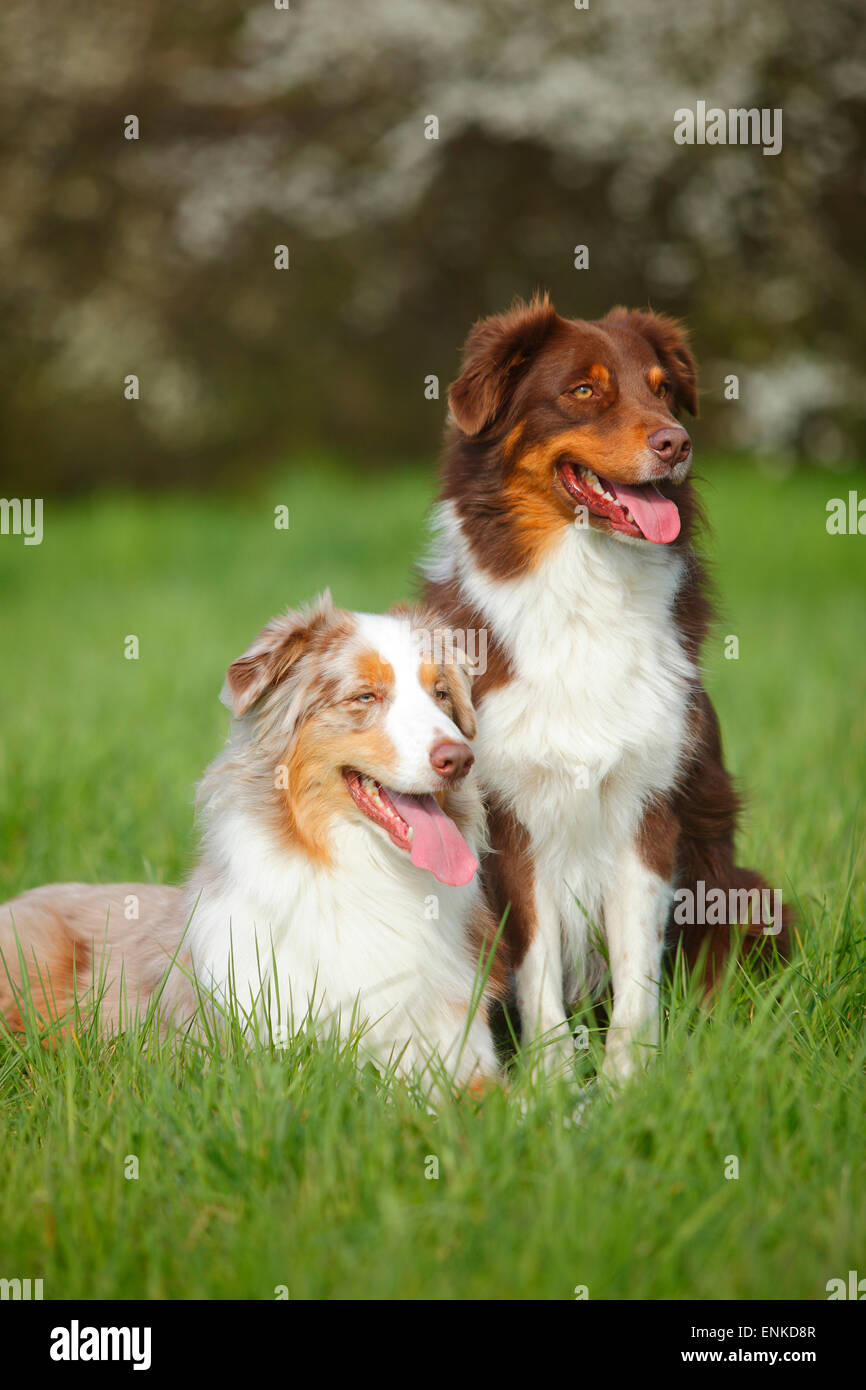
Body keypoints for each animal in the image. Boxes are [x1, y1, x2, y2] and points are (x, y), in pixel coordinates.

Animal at [422, 296, 789, 1084]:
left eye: (661, 390)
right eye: (584, 390)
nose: (677, 443)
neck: (587, 584)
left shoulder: (649, 807)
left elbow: (636, 964)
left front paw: (629, 1080)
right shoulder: (511, 819)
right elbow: (535, 962)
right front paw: (556, 1082)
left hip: (745, 889)